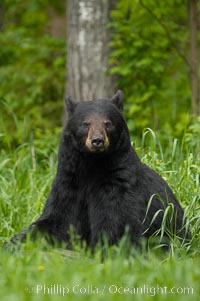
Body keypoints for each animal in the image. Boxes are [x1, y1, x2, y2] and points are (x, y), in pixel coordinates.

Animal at [9, 90, 184, 247]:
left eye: (108, 123)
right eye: (86, 124)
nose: (97, 140)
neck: (92, 165)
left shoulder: (117, 185)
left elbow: (115, 224)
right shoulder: (69, 183)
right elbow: (57, 219)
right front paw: (16, 240)